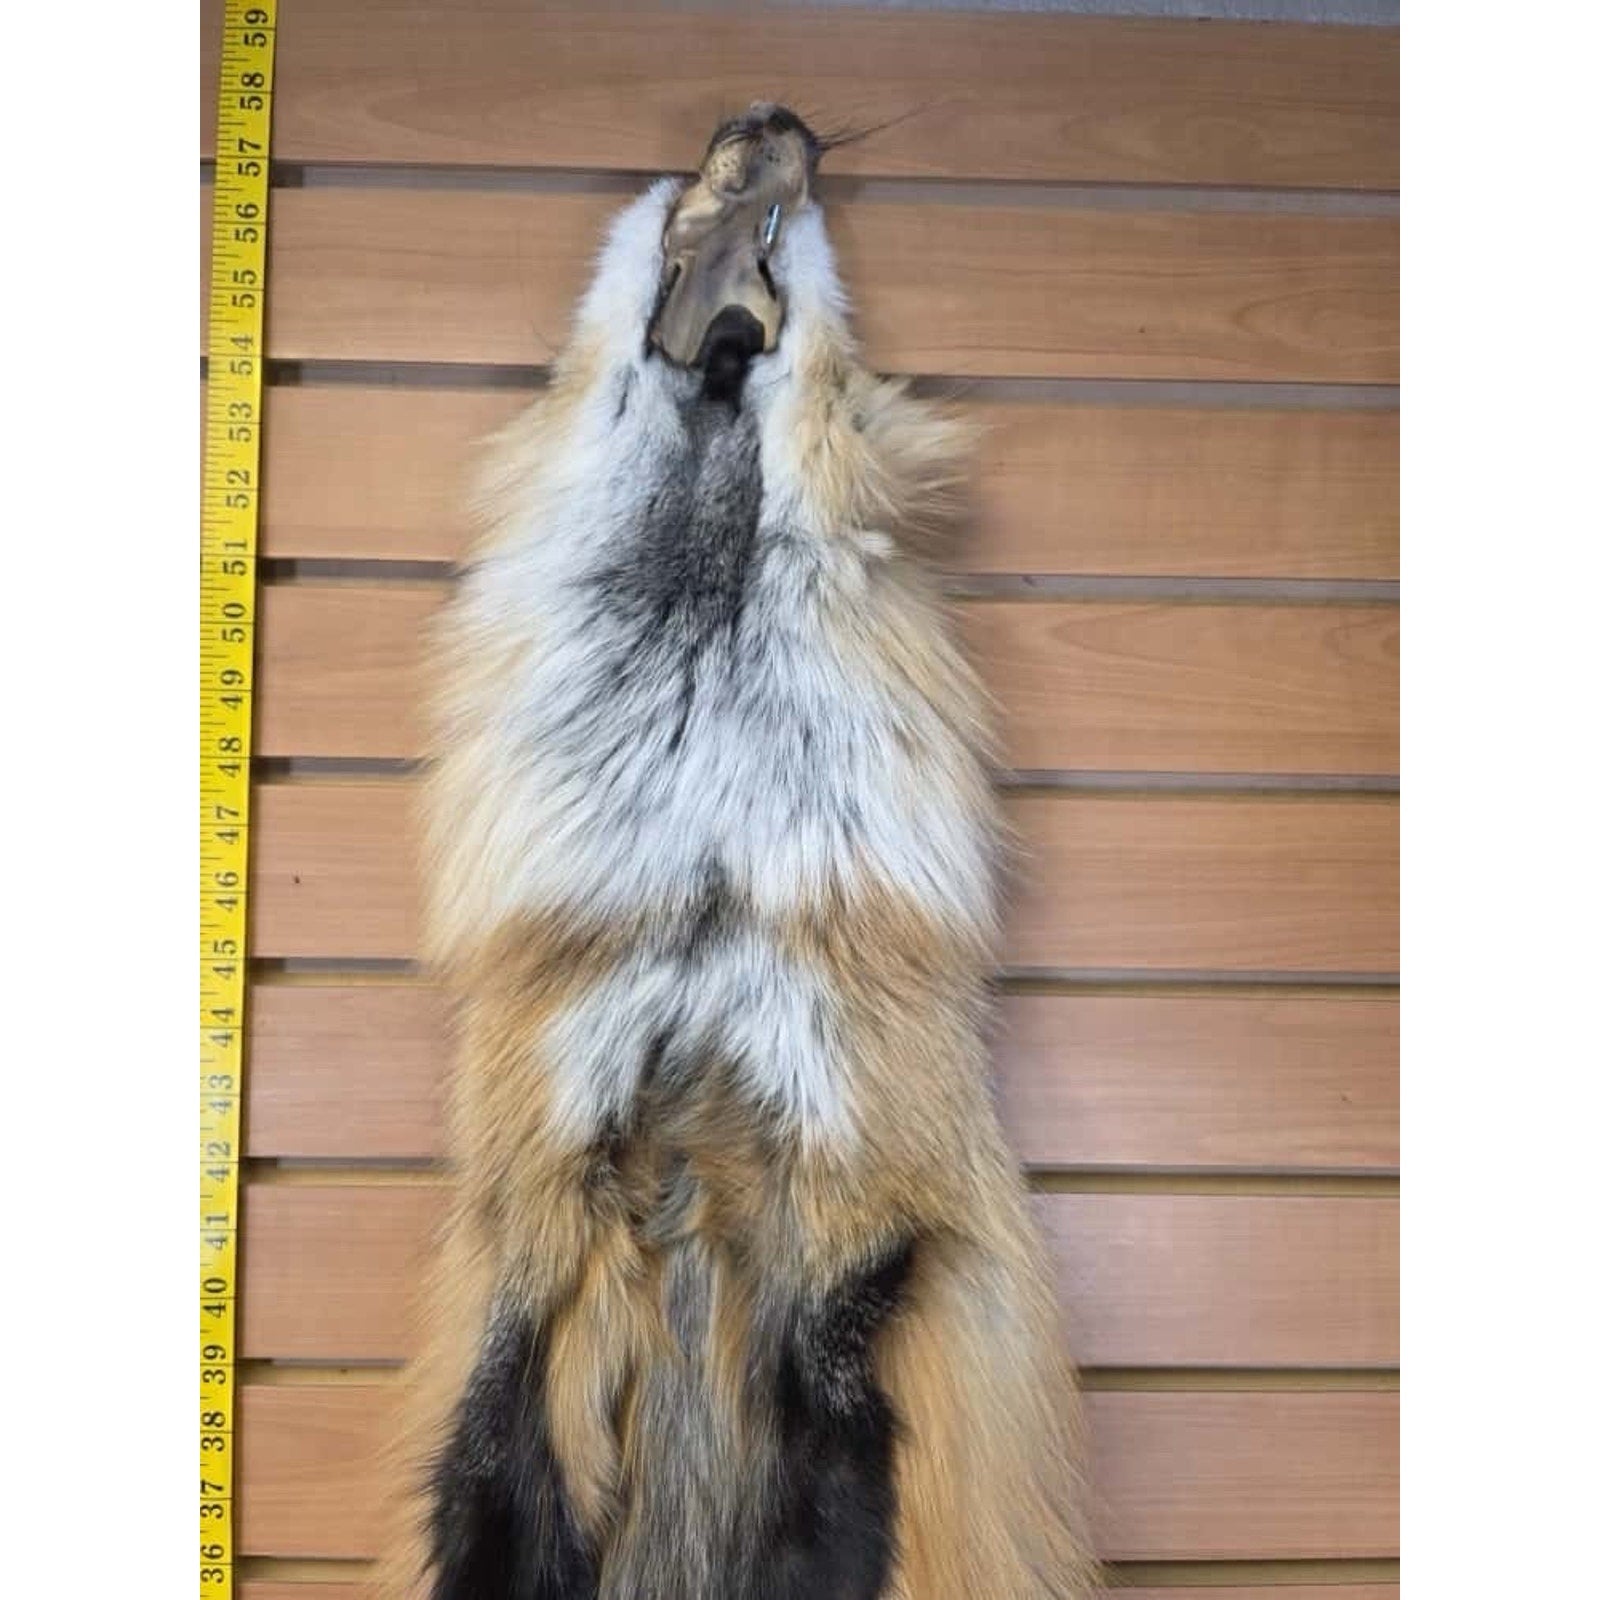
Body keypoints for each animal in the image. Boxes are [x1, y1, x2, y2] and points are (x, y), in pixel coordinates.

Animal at [392, 105, 1097, 1600]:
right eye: (695, 174)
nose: (773, 126)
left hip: (851, 1269)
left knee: (833, 1459)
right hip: (536, 1272)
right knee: (496, 1479)